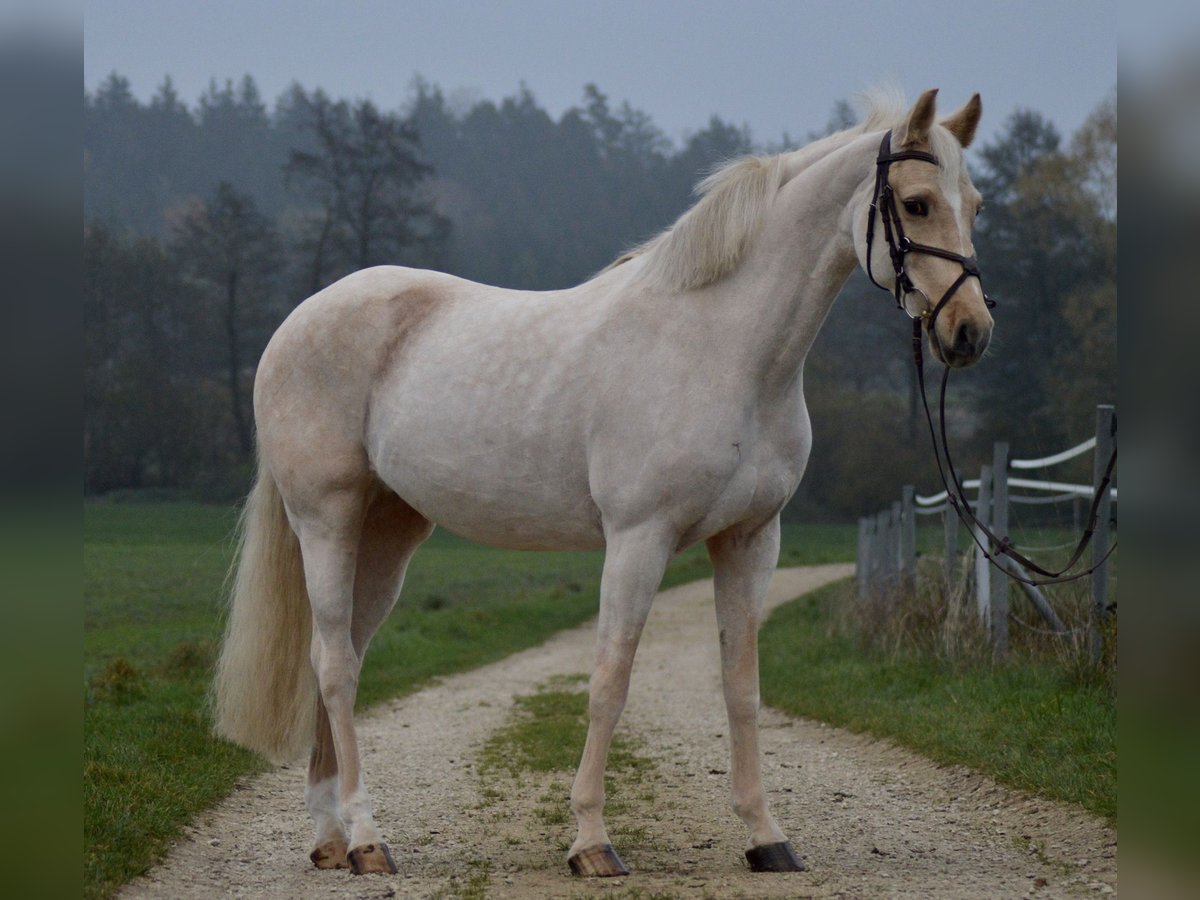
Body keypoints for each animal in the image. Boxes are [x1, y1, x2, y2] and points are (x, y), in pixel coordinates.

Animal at [211, 86, 988, 883]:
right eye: (918, 203)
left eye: (975, 204)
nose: (968, 332)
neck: (723, 349)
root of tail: (299, 321)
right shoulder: (639, 538)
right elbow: (609, 683)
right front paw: (590, 840)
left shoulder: (751, 540)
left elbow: (740, 687)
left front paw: (766, 835)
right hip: (326, 520)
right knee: (335, 666)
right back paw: (367, 838)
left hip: (389, 531)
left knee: (341, 658)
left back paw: (330, 836)